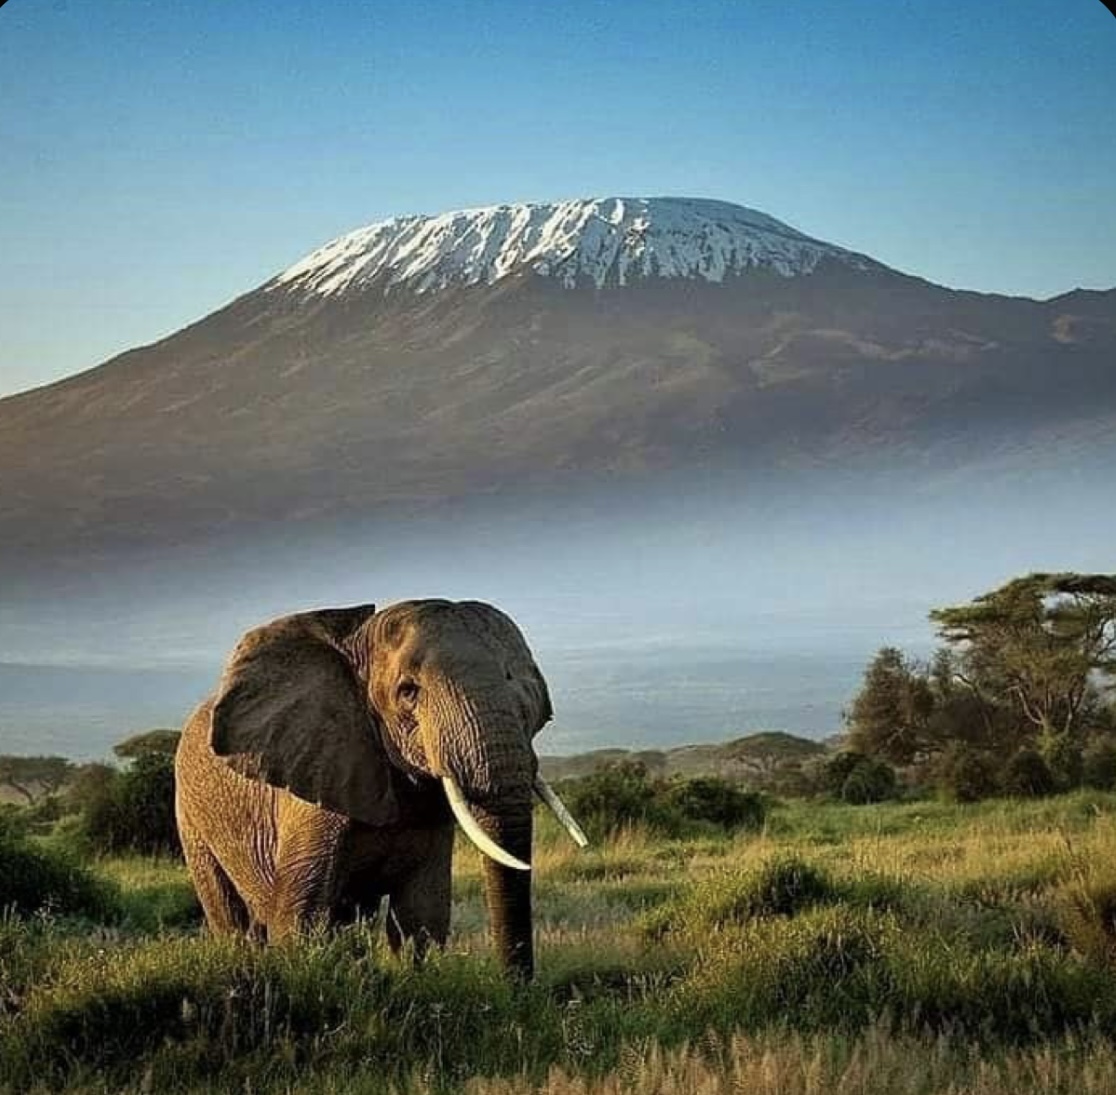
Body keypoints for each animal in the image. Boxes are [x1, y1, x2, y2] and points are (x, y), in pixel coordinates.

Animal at [172, 602, 584, 977]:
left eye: (514, 679)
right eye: (408, 691)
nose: (516, 989)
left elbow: (422, 915)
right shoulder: (316, 780)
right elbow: (300, 917)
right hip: (190, 817)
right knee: (232, 920)